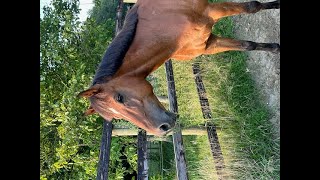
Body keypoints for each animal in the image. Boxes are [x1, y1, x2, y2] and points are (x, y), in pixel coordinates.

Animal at [78, 0, 280, 135]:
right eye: (117, 118)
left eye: (119, 98)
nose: (163, 128)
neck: (163, 25)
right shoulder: (207, 44)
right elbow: (248, 45)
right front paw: (275, 48)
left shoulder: (212, 9)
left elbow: (253, 6)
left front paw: (276, 5)